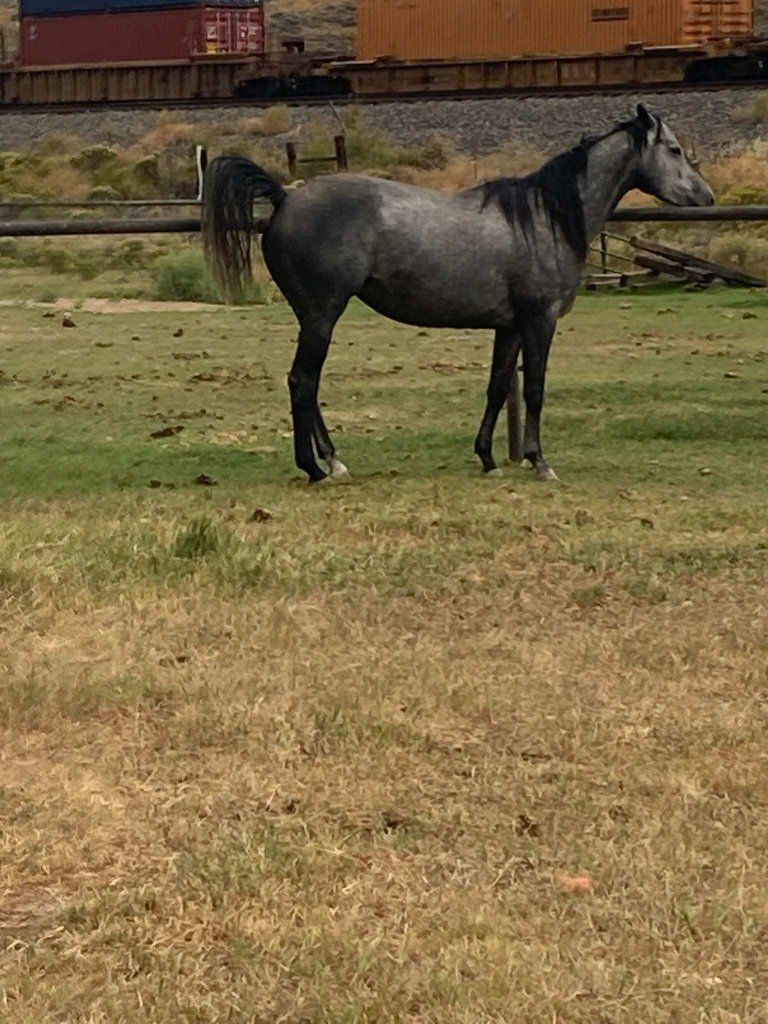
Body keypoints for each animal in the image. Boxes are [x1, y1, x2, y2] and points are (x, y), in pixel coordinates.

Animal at [202, 105, 714, 484]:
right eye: (673, 148)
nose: (707, 197)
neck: (545, 218)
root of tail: (285, 198)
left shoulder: (509, 327)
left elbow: (498, 387)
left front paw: (487, 458)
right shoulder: (540, 321)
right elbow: (535, 388)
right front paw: (539, 461)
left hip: (315, 317)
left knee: (307, 386)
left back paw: (333, 461)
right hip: (321, 314)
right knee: (302, 382)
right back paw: (315, 467)